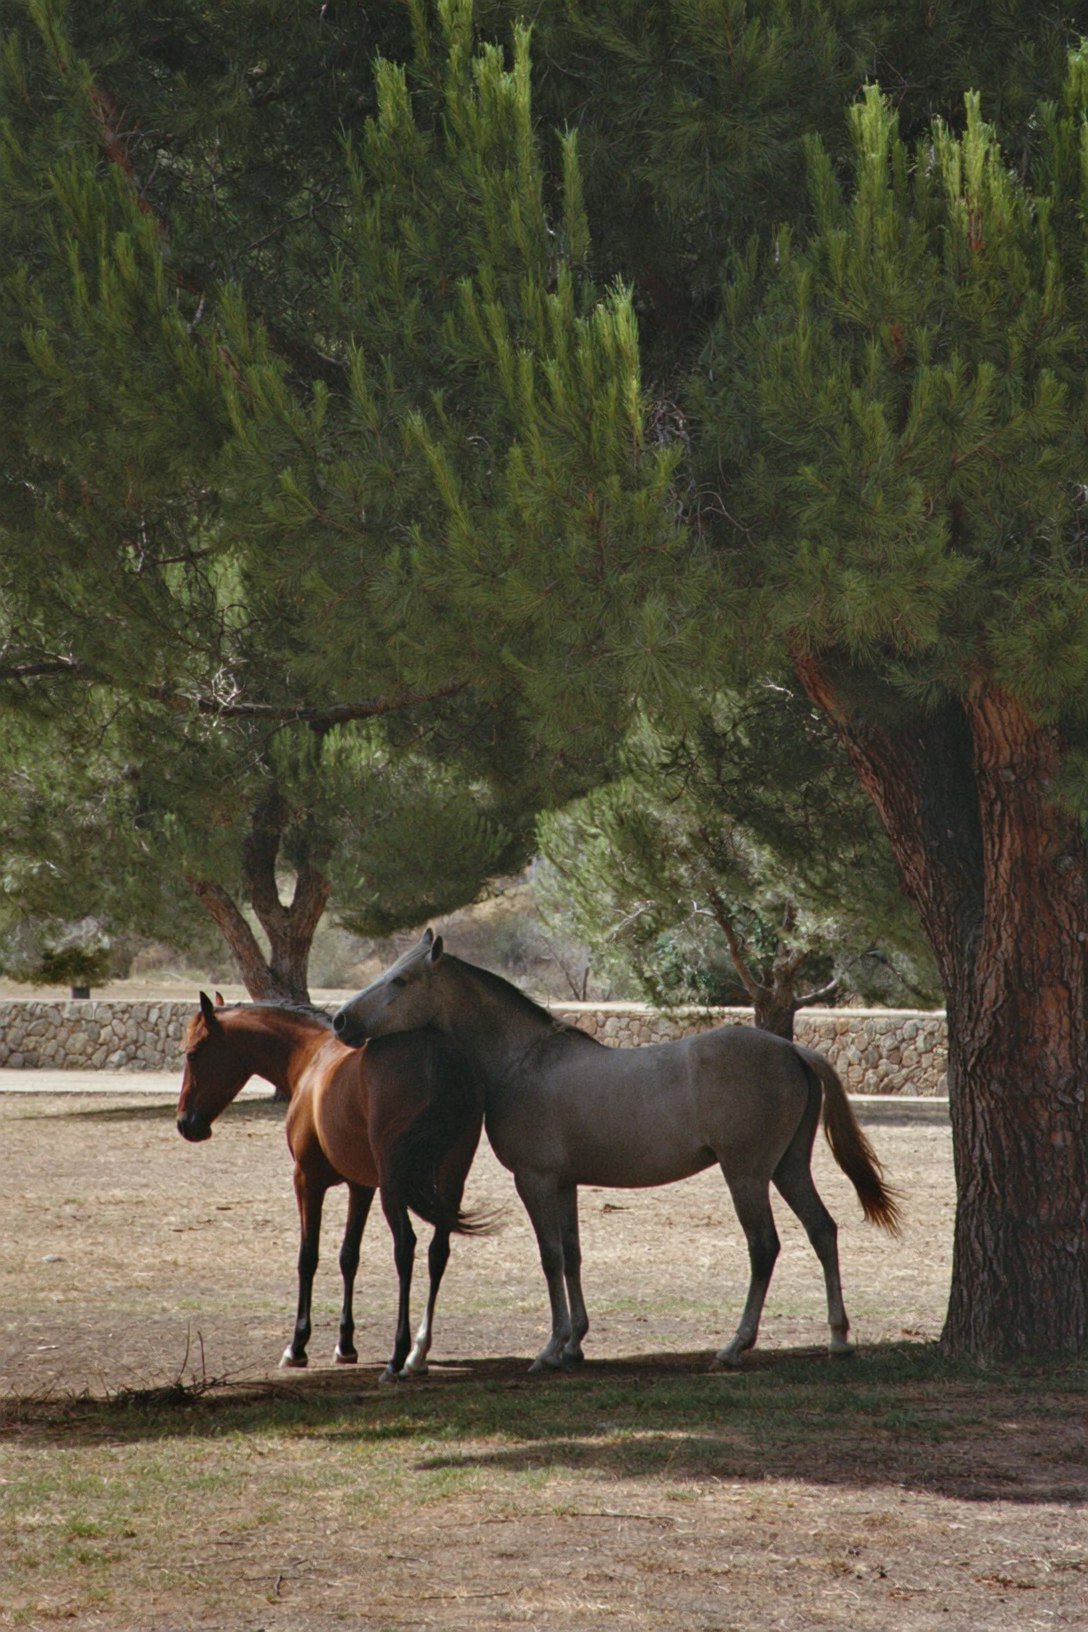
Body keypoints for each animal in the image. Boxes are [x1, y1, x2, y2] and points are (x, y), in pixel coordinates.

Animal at [175, 992, 485, 1381]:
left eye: (193, 1053)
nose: (185, 1124)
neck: (311, 1056)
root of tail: (437, 1061)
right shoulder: (361, 1187)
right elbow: (348, 1256)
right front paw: (345, 1344)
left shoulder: (307, 1180)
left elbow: (308, 1257)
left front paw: (297, 1346)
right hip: (450, 1180)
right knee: (437, 1252)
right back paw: (418, 1353)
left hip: (395, 1187)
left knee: (406, 1248)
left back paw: (398, 1356)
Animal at [333, 931, 902, 1373]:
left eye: (401, 981)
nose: (339, 1021)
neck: (523, 1062)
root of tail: (792, 1049)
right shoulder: (564, 1184)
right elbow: (572, 1256)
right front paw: (574, 1344)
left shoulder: (535, 1181)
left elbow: (549, 1257)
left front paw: (550, 1348)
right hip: (788, 1169)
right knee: (823, 1231)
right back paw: (838, 1337)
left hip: (747, 1175)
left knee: (764, 1248)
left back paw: (734, 1346)